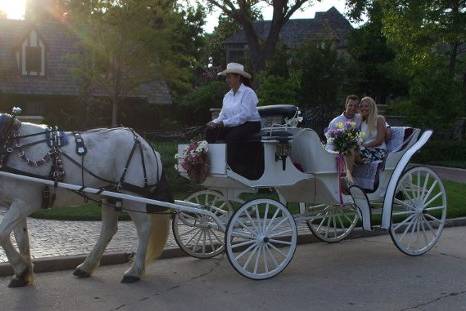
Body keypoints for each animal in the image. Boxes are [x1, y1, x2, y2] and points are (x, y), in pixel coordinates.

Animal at [0, 111, 171, 288]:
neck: (10, 141)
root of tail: (147, 145)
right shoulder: (16, 202)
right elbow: (21, 239)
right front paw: (23, 274)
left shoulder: (25, 202)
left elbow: (2, 234)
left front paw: (21, 269)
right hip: (110, 196)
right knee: (108, 229)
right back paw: (86, 267)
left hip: (132, 196)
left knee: (144, 227)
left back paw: (134, 272)